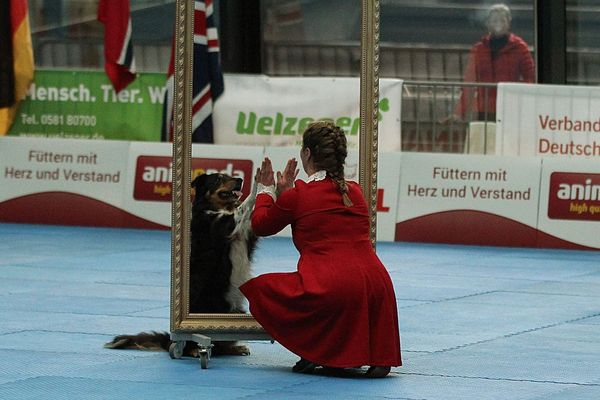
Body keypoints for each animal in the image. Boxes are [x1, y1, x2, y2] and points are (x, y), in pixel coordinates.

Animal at [103, 172, 258, 356]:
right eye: (218, 179)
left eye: (229, 175)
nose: (240, 180)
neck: (217, 207)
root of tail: (168, 340)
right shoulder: (222, 225)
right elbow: (244, 207)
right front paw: (260, 183)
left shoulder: (247, 235)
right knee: (196, 344)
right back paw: (195, 350)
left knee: (220, 345)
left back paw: (236, 348)